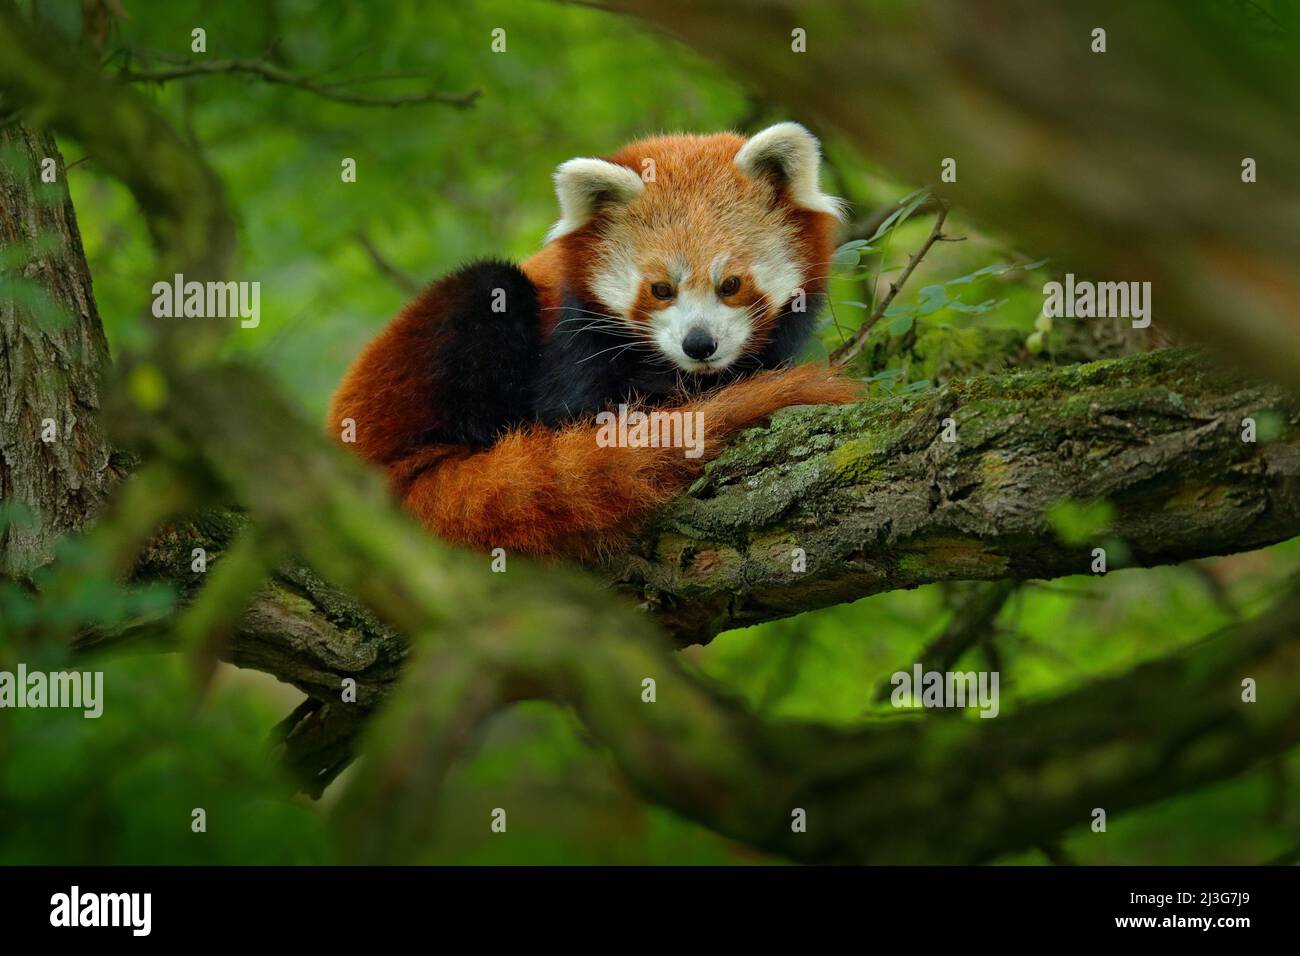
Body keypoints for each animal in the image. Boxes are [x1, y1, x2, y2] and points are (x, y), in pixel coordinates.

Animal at [332, 125, 863, 561]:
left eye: (730, 284)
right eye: (661, 289)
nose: (699, 344)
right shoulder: (574, 333)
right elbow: (569, 413)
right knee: (483, 287)